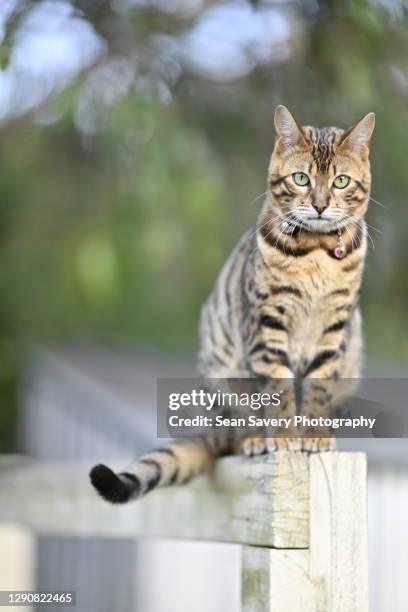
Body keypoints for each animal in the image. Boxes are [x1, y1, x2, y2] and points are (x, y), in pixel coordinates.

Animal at [91, 105, 374, 502]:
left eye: (341, 182)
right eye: (301, 179)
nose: (319, 205)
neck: (316, 253)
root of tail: (212, 428)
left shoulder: (333, 332)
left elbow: (318, 386)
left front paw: (314, 435)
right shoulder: (267, 327)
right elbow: (279, 391)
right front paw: (284, 438)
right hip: (225, 381)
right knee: (235, 433)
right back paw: (254, 439)